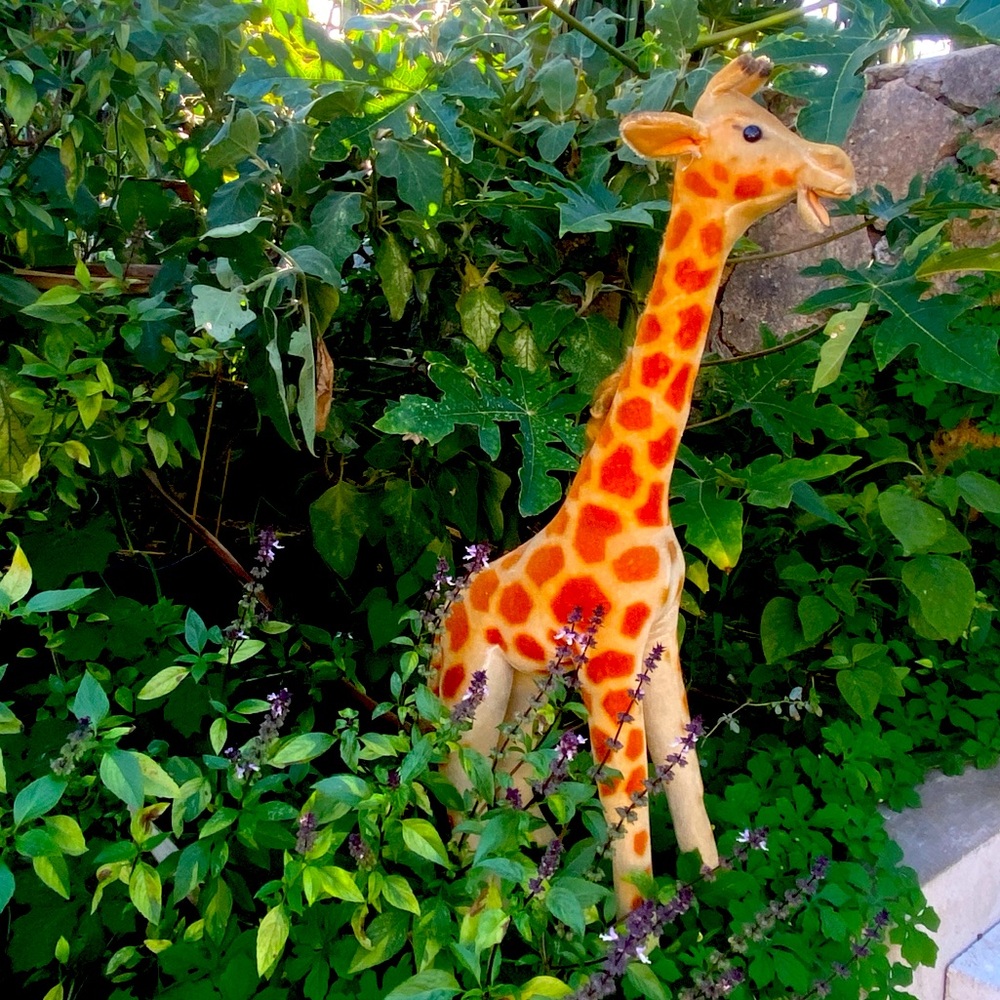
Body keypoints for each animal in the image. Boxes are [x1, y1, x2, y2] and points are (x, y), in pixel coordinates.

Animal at [434, 54, 856, 915]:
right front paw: (641, 937)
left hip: (529, 691)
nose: (841, 166)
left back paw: (536, 879)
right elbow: (630, 831)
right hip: (477, 696)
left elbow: (686, 789)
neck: (635, 497)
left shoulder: (662, 642)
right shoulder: (608, 665)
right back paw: (489, 907)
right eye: (753, 130)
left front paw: (718, 900)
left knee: (511, 788)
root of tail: (431, 646)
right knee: (460, 798)